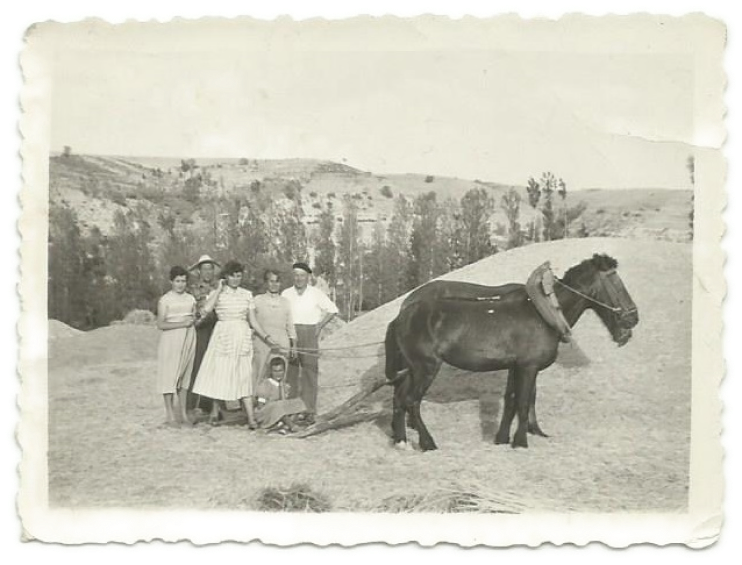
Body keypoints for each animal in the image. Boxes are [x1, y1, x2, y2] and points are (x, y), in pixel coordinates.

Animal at [390, 254, 640, 450]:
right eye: (614, 281)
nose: (633, 318)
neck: (543, 312)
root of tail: (403, 314)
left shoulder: (515, 366)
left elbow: (511, 400)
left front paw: (502, 438)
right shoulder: (529, 367)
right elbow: (523, 401)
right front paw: (521, 441)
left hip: (412, 368)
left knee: (400, 397)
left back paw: (401, 440)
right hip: (426, 367)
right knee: (412, 401)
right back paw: (427, 442)